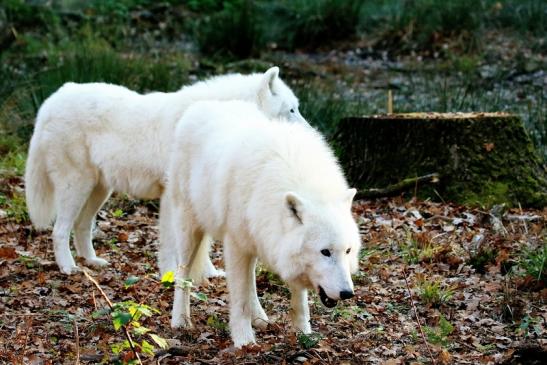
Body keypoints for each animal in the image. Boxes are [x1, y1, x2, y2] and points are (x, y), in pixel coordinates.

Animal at [25, 67, 306, 274]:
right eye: (292, 109)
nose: (310, 130)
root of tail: (52, 100)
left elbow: (202, 246)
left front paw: (209, 274)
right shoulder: (173, 198)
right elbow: (173, 244)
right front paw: (170, 275)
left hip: (99, 190)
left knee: (81, 226)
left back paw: (92, 261)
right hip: (76, 187)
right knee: (59, 230)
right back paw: (68, 267)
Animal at [161, 100, 362, 346]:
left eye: (348, 251)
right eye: (325, 252)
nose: (347, 293)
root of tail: (203, 104)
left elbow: (299, 301)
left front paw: (303, 333)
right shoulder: (235, 245)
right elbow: (239, 300)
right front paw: (244, 341)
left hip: (253, 239)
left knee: (251, 282)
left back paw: (259, 318)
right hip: (189, 230)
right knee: (183, 273)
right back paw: (180, 320)